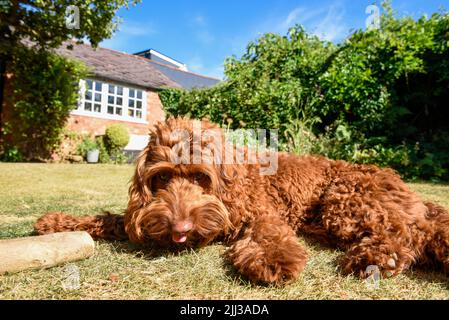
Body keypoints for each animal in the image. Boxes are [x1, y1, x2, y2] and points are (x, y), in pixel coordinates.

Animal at [35, 117, 448, 284]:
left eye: (200, 177)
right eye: (162, 177)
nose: (179, 228)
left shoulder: (260, 211)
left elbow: (266, 233)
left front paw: (273, 259)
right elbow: (112, 220)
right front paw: (56, 222)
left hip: (345, 201)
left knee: (405, 231)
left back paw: (377, 258)